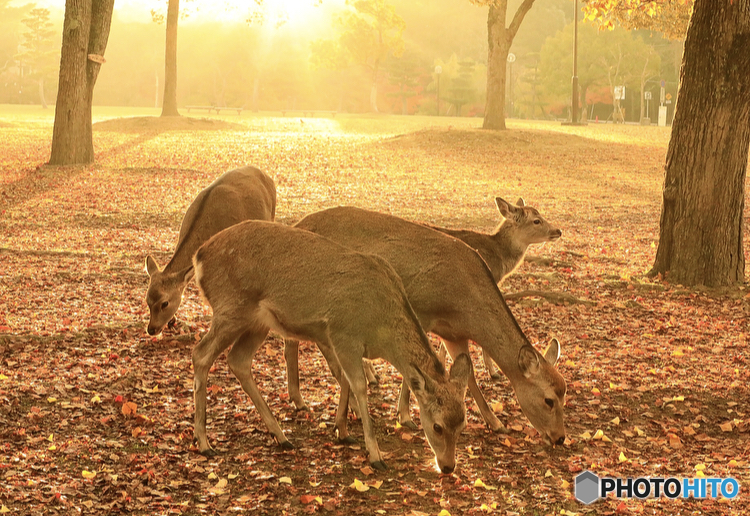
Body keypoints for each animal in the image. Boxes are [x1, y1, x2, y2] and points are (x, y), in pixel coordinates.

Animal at [191, 221, 472, 472]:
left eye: (463, 425)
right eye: (437, 426)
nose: (448, 466)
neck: (381, 330)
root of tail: (199, 256)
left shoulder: (339, 342)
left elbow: (344, 379)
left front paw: (342, 431)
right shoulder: (343, 333)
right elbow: (358, 385)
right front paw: (375, 455)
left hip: (258, 322)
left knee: (238, 360)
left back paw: (281, 436)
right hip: (231, 306)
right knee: (201, 354)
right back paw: (204, 442)